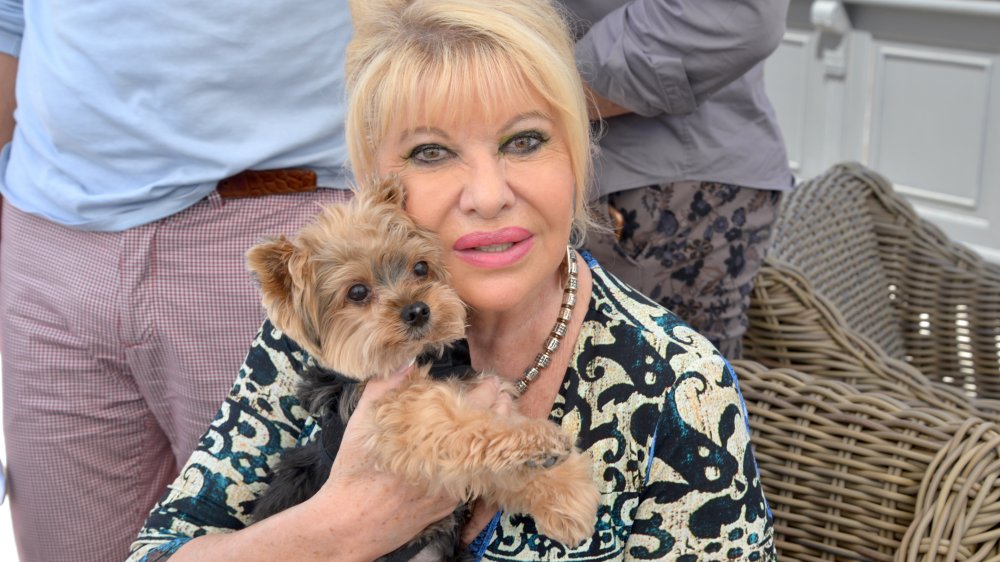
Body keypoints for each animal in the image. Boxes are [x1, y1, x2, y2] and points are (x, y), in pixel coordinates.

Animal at [243, 176, 600, 556]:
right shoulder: (404, 417)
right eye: (357, 292)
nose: (417, 310)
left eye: (420, 268)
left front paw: (566, 495)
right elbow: (469, 428)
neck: (425, 359)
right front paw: (537, 443)